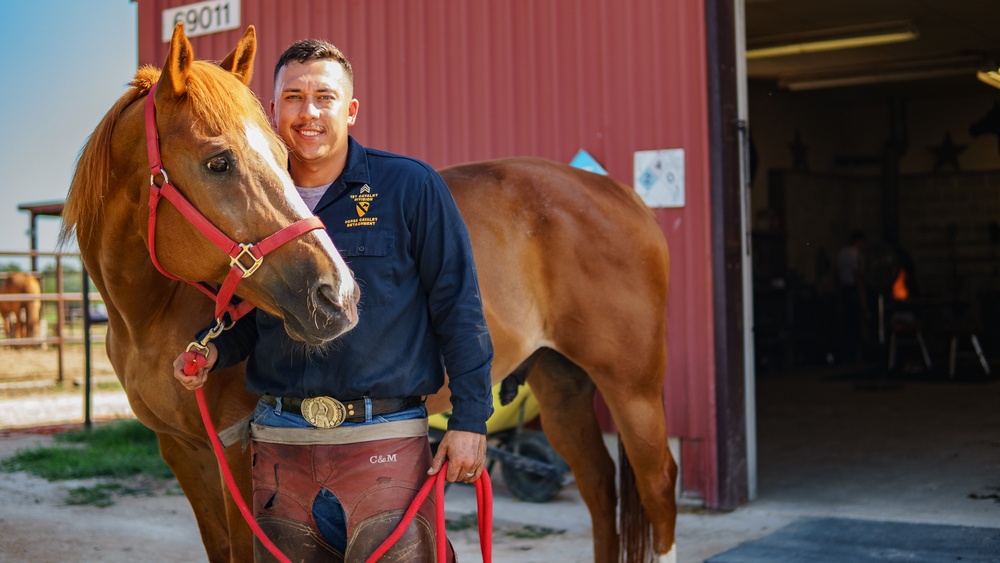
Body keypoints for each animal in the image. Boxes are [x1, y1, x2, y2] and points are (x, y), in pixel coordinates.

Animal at [59, 25, 360, 563]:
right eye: (219, 162)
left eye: (284, 157)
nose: (338, 294)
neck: (148, 321)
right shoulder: (182, 449)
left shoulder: (238, 449)